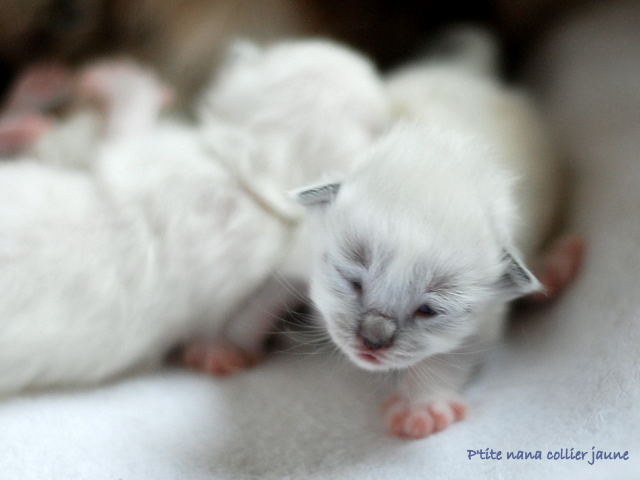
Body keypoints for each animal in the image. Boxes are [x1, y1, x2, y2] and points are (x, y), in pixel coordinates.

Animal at [296, 27, 560, 438]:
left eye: (429, 310)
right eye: (353, 281)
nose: (373, 340)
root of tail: (469, 71)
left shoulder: (482, 320)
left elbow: (446, 358)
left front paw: (422, 406)